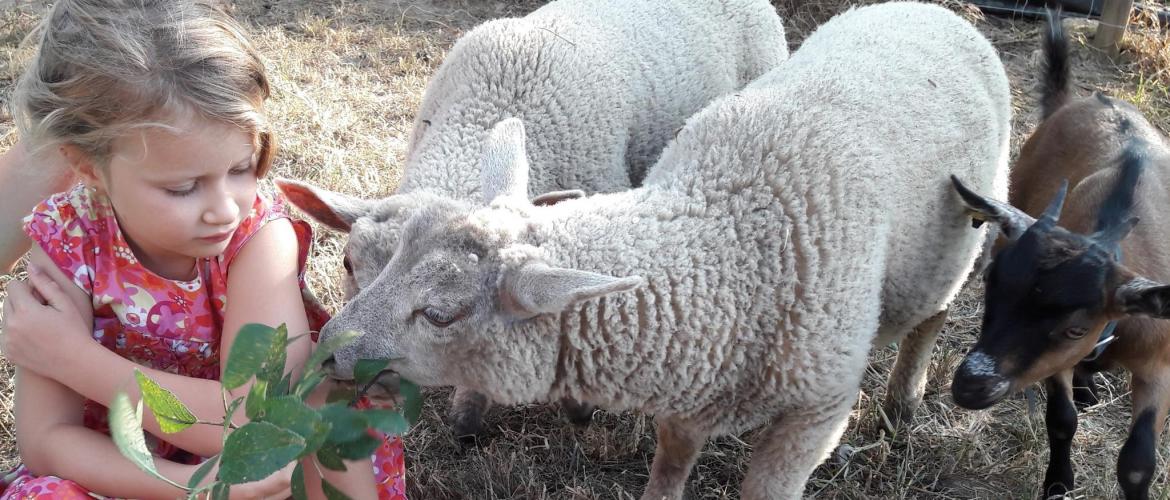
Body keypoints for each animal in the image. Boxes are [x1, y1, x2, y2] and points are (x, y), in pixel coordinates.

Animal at [950, 11, 1170, 500]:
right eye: (990, 288)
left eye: (1075, 328)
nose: (971, 384)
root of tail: (1078, 100)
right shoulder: (1054, 365)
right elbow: (1061, 420)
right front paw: (1057, 484)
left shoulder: (1160, 363)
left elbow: (1138, 462)